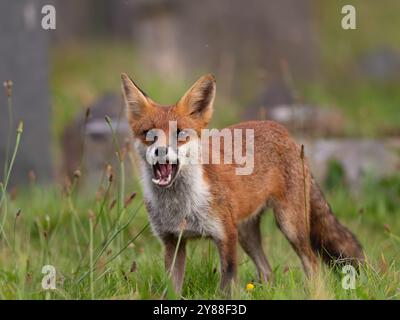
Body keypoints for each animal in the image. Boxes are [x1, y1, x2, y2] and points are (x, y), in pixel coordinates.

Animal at [120, 74, 364, 294]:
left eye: (180, 134)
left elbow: (227, 285)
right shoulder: (173, 242)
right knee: (267, 271)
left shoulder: (226, 236)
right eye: (148, 135)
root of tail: (282, 130)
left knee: (313, 265)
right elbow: (173, 289)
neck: (182, 207)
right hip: (247, 234)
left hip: (289, 226)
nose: (160, 151)